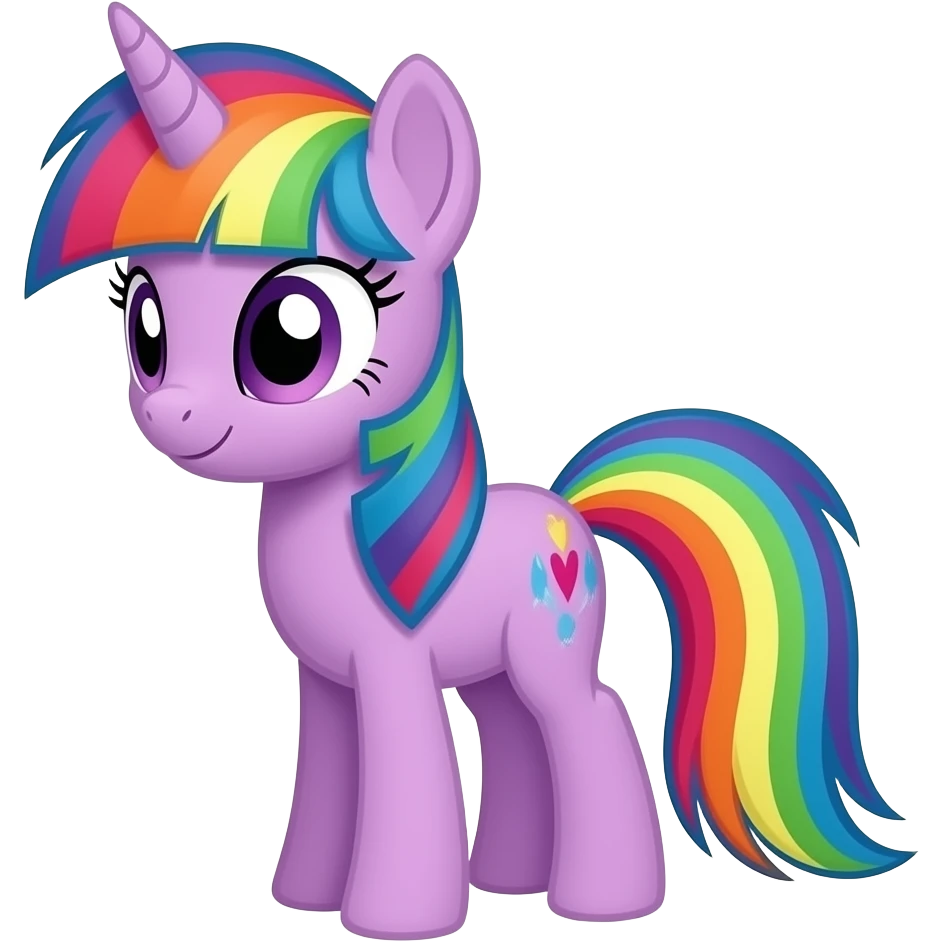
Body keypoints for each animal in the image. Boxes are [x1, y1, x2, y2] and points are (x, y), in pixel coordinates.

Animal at [24, 5, 915, 938]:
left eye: (291, 337)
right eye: (145, 325)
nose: (172, 414)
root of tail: (571, 515)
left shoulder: (390, 668)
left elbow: (409, 770)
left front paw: (394, 918)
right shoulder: (327, 684)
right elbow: (331, 777)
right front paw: (305, 895)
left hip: (547, 653)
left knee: (591, 717)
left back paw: (608, 900)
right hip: (492, 673)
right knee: (517, 733)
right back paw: (512, 879)